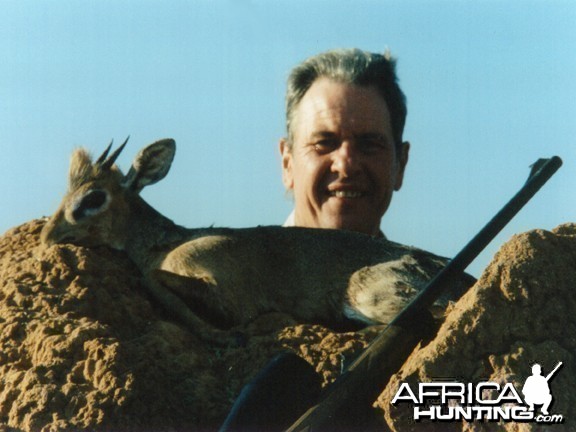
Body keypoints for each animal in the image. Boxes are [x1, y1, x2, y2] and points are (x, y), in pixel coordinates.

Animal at [40, 138, 472, 340]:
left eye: (93, 198)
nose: (48, 235)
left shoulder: (228, 294)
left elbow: (153, 282)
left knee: (435, 315)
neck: (164, 242)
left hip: (366, 291)